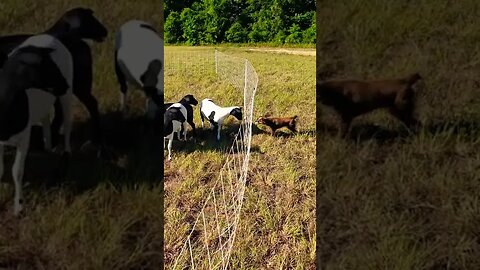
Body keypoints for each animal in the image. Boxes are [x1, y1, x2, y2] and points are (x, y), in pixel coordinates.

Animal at [0, 6, 108, 150]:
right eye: (91, 21)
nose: (105, 31)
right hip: (63, 87)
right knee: (61, 112)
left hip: (77, 84)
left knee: (90, 104)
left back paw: (94, 140)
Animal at [0, 34, 73, 215]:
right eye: (46, 68)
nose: (64, 84)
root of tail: (48, 36)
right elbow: (0, 169)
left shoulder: (24, 139)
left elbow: (17, 171)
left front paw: (19, 206)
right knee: (45, 118)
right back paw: (47, 147)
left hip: (66, 95)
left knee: (68, 123)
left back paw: (66, 153)